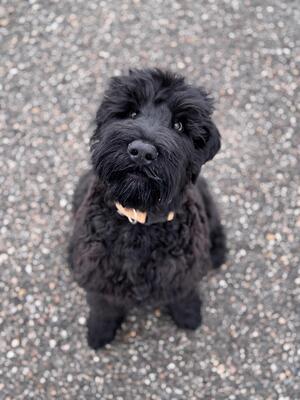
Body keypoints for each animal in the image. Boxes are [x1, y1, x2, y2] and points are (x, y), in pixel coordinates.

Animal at [68, 67, 225, 348]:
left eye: (179, 125)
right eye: (131, 113)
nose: (141, 151)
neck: (138, 224)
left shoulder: (182, 274)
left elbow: (184, 296)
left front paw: (190, 317)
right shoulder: (99, 277)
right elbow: (103, 308)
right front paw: (99, 334)